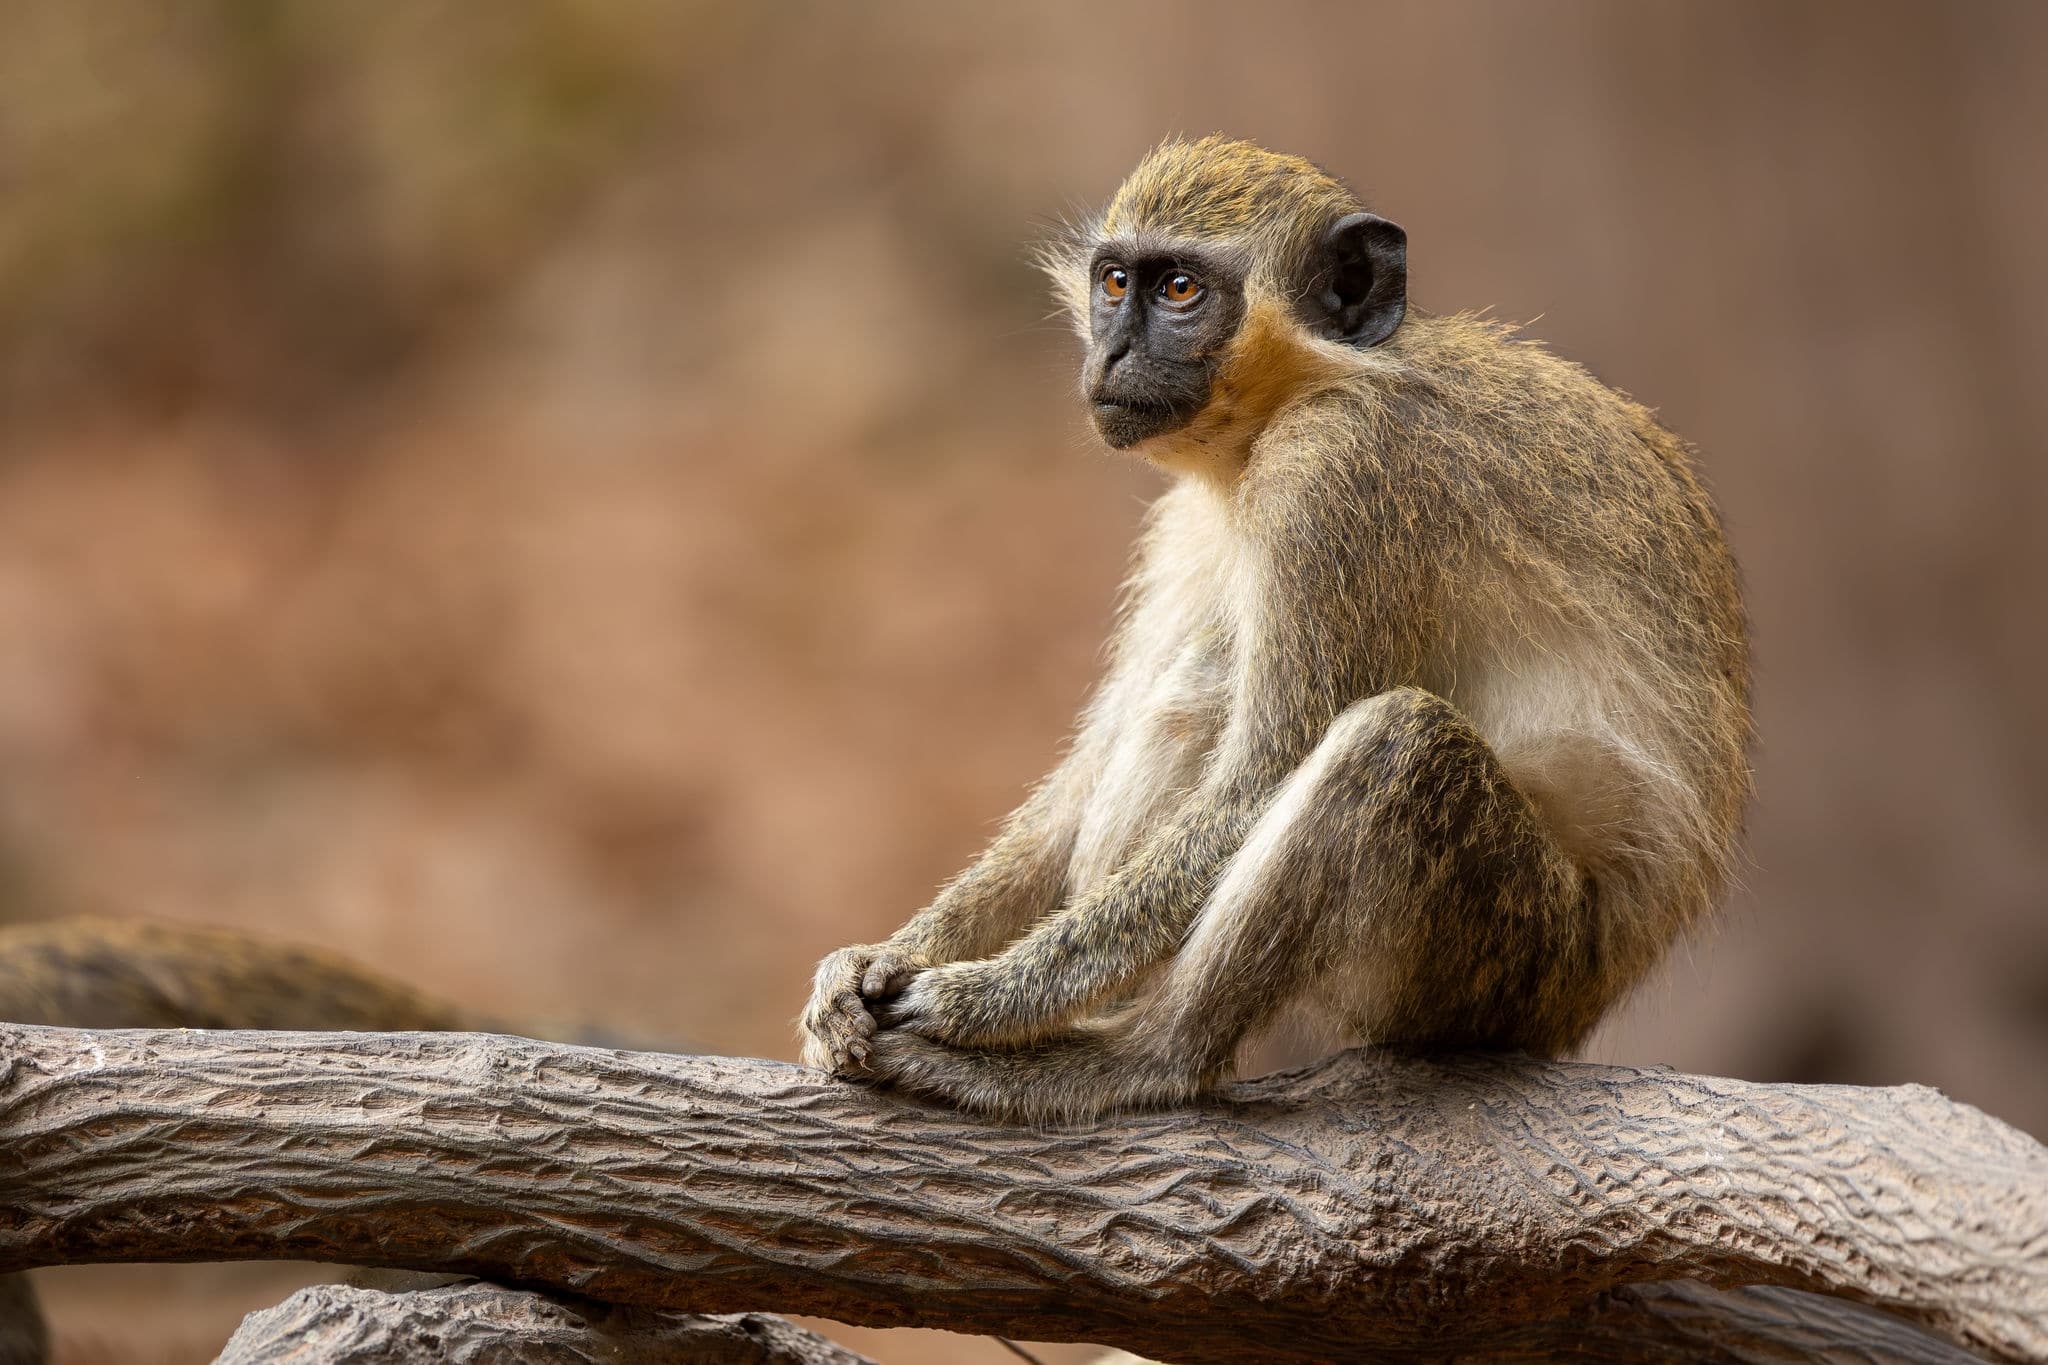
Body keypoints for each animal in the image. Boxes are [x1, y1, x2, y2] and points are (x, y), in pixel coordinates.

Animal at [797, 135, 1751, 1124]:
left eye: (1180, 290)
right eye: (1115, 281)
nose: (1112, 353)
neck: (1301, 394)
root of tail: (1589, 995)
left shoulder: (1335, 472)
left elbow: (1258, 781)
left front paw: (978, 997)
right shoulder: (1186, 521)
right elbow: (1079, 786)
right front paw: (882, 956)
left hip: (1513, 955)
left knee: (1394, 742)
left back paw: (1142, 1055)